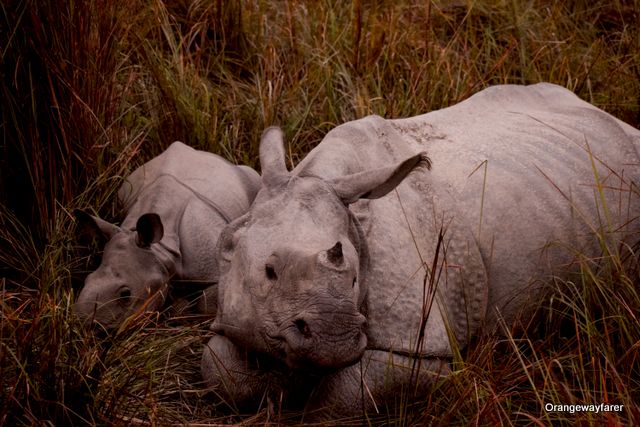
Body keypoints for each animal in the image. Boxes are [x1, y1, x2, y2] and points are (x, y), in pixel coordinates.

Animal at [202, 83, 636, 418]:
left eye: (356, 277)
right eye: (269, 272)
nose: (334, 338)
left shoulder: (420, 351)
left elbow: (338, 400)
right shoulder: (234, 315)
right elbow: (222, 371)